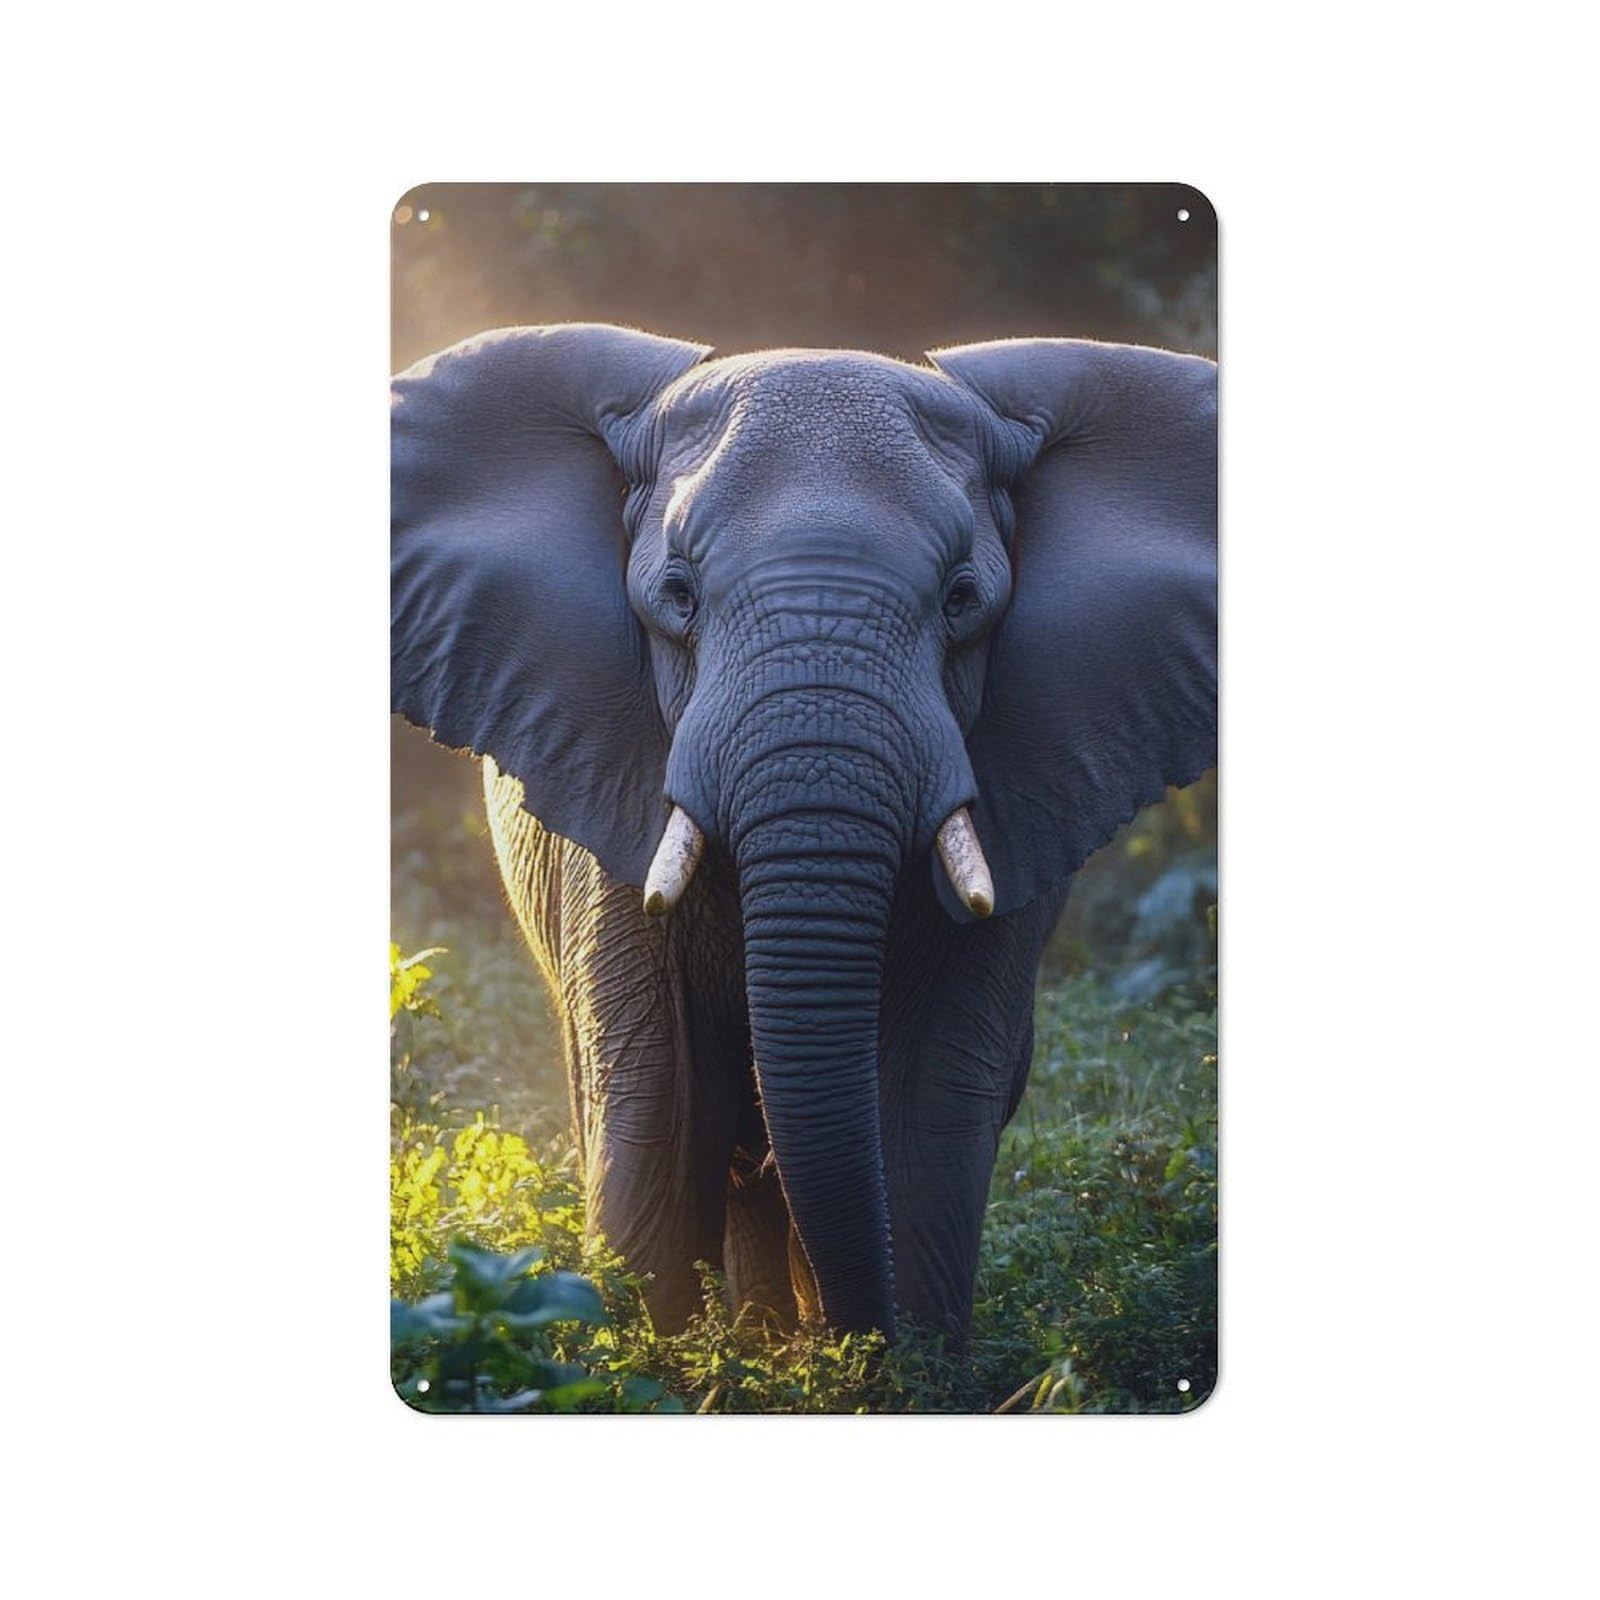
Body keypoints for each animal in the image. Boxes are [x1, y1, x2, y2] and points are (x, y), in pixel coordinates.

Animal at [392, 322, 1216, 1344]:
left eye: (962, 598)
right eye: (677, 594)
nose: (863, 1337)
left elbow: (927, 1112)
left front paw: (896, 1363)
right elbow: (657, 1115)